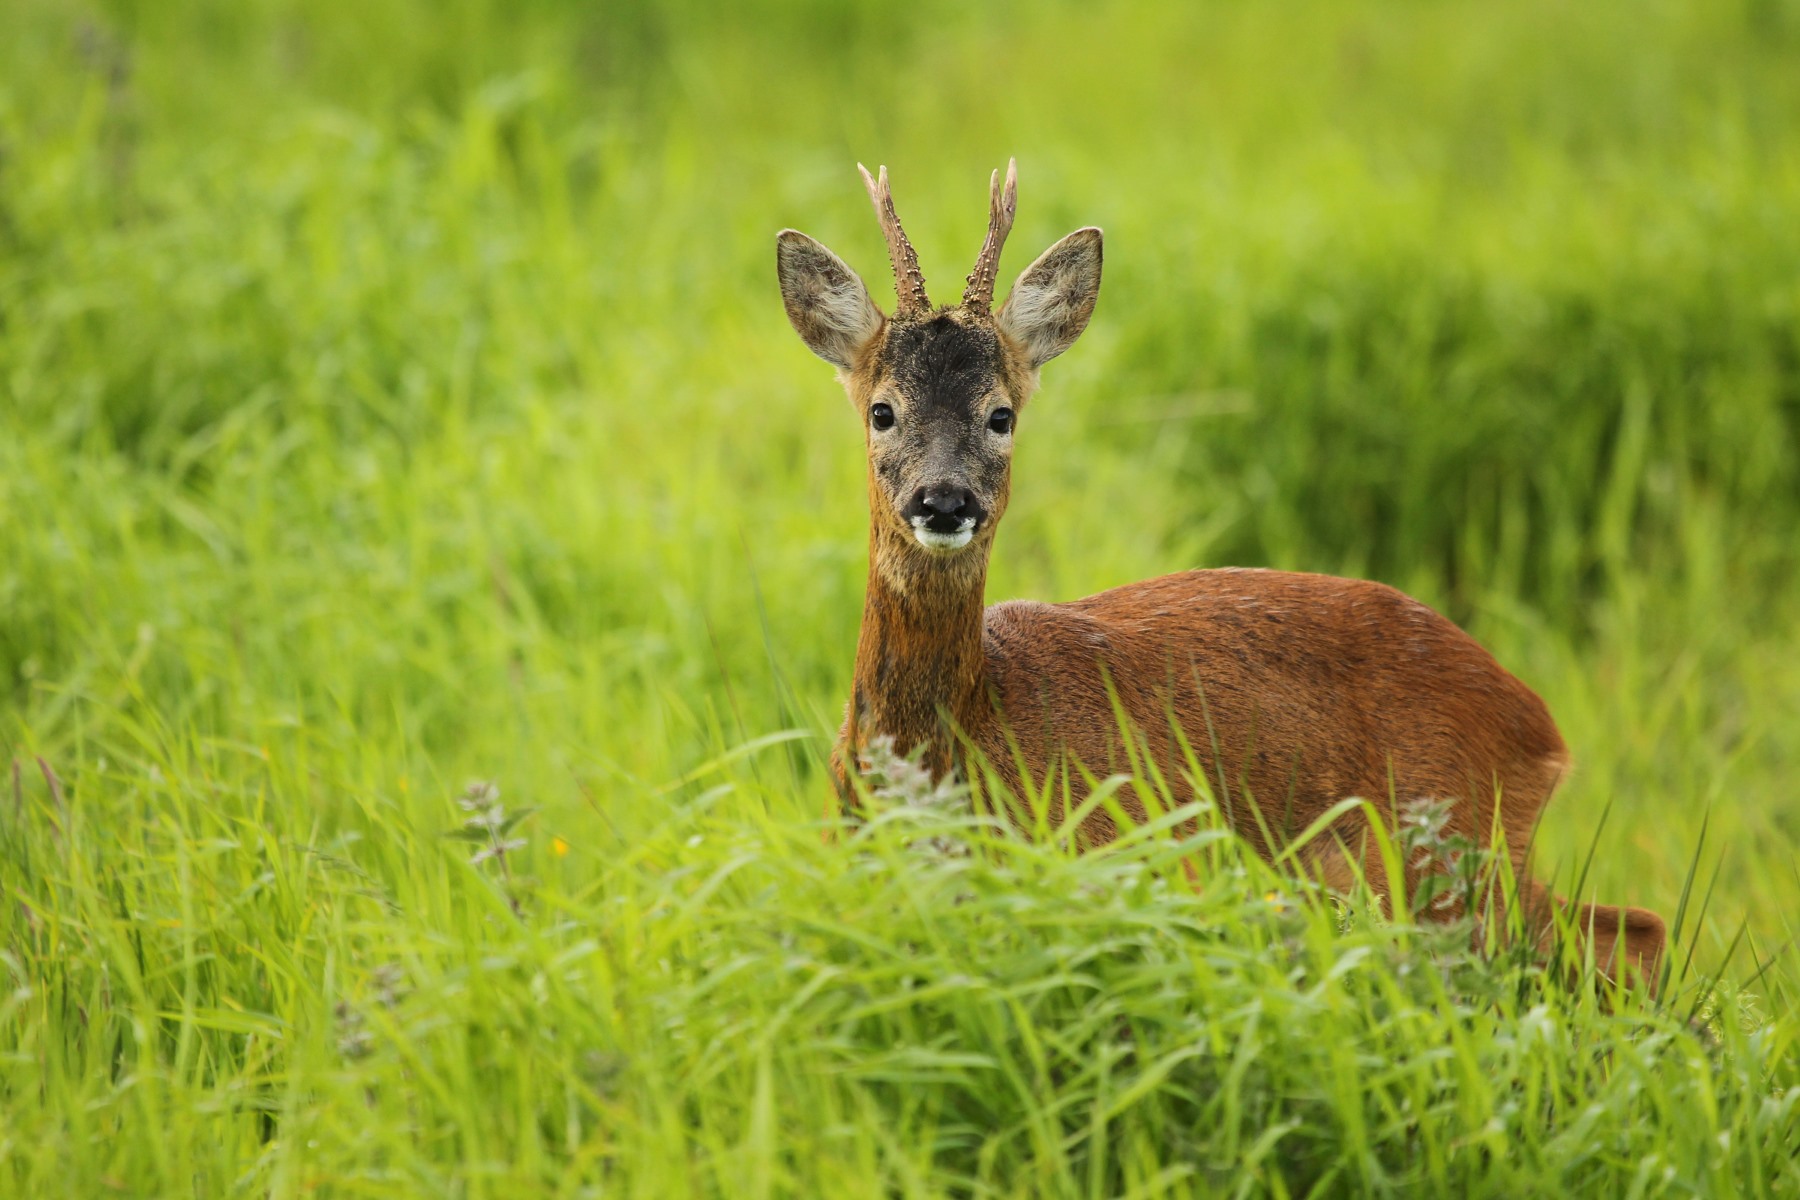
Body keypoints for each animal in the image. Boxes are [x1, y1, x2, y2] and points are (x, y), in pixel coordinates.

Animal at [775, 159, 1667, 987]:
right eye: (882, 410)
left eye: (1002, 414)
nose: (945, 499)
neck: (964, 736)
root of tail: (1539, 725)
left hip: (1445, 853)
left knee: (1620, 935)